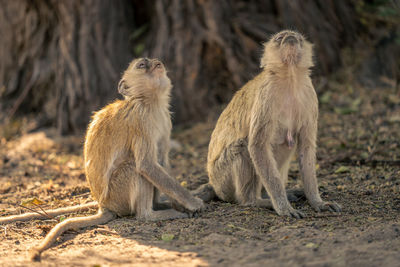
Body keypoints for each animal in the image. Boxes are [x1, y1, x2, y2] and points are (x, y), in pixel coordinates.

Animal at [0, 58, 205, 262]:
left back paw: (159, 205)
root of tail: (104, 205)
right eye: (142, 65)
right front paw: (192, 203)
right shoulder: (140, 120)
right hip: (117, 195)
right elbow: (146, 166)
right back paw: (149, 215)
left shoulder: (164, 119)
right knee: (134, 168)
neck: (149, 102)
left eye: (152, 61)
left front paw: (180, 202)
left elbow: (160, 162)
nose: (156, 63)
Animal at [197, 30, 340, 219]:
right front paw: (283, 207)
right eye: (280, 38)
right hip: (222, 178)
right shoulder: (266, 96)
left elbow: (306, 147)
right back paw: (254, 200)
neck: (290, 78)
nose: (290, 38)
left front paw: (317, 201)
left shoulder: (310, 96)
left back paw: (268, 195)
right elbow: (257, 146)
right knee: (243, 146)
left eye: (298, 38)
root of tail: (213, 183)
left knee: (287, 144)